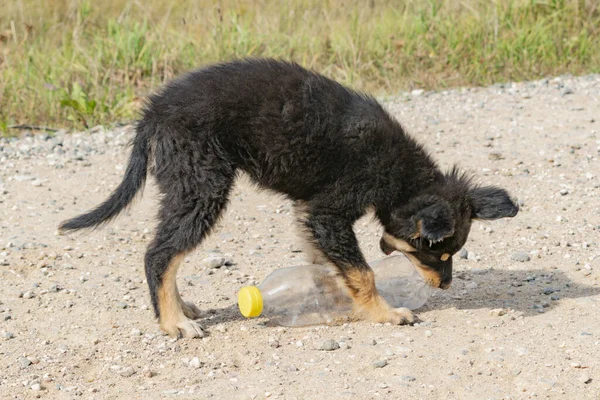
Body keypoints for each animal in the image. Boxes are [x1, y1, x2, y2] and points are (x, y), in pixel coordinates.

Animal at [62, 57, 520, 336]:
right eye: (435, 251)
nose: (445, 286)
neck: (398, 173)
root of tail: (154, 111)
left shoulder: (308, 211)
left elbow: (333, 264)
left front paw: (332, 296)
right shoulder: (328, 211)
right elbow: (364, 272)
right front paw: (385, 312)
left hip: (189, 186)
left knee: (166, 251)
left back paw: (180, 309)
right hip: (203, 186)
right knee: (159, 254)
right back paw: (173, 322)